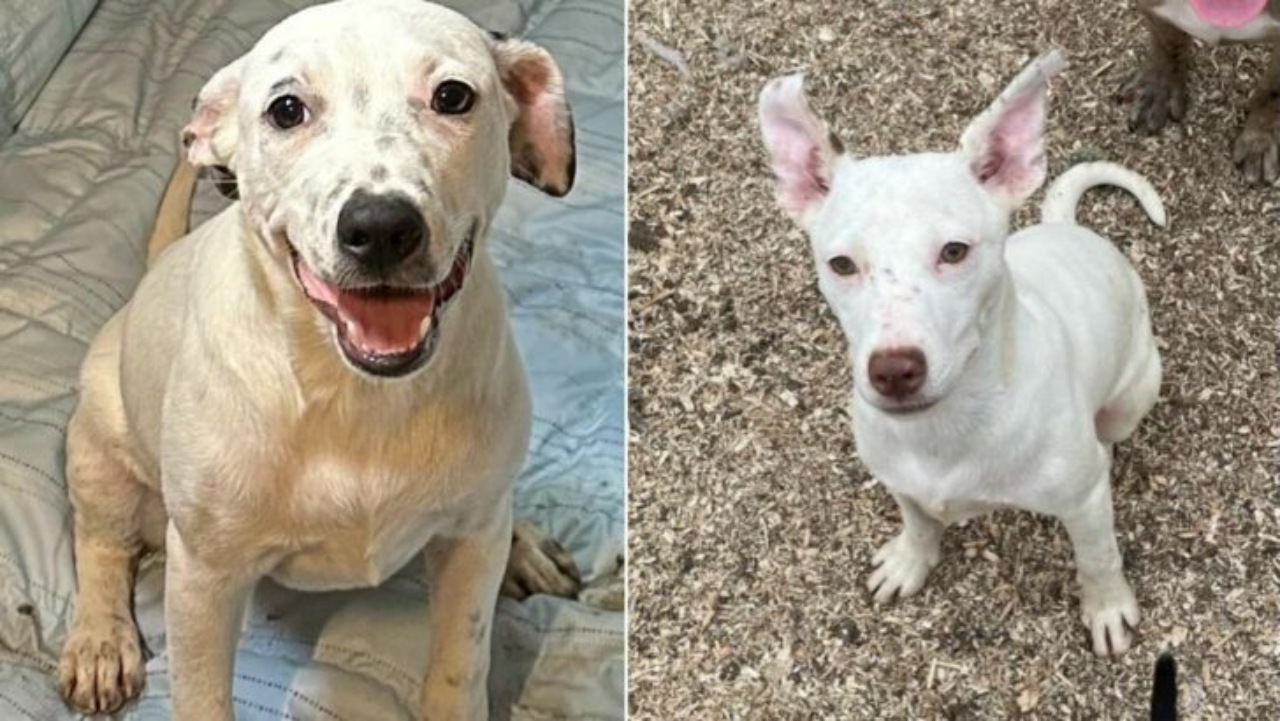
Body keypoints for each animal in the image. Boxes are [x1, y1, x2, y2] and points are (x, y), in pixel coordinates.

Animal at [56, 2, 581, 717]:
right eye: (286, 109)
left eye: (452, 96)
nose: (381, 227)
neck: (353, 394)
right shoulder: (204, 578)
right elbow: (200, 692)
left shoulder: (470, 552)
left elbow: (459, 665)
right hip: (99, 446)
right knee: (101, 542)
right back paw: (99, 639)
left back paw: (525, 543)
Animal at [757, 50, 1172, 655]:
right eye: (841, 264)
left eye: (954, 251)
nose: (894, 371)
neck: (945, 431)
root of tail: (1068, 228)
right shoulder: (900, 480)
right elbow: (917, 521)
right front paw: (911, 561)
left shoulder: (1085, 504)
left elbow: (1098, 557)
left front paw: (1107, 608)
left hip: (1133, 392)